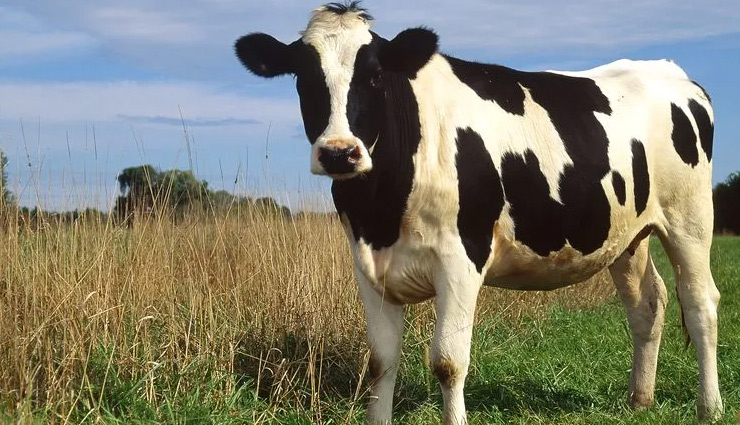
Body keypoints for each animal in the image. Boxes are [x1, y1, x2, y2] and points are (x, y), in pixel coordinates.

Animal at [234, 3, 722, 423]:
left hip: (690, 218)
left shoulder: (461, 257)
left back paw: (710, 406)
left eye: (374, 77)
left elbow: (448, 362)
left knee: (700, 302)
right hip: (627, 235)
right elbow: (380, 362)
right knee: (647, 304)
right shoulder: (368, 263)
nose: (339, 152)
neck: (383, 209)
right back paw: (640, 399)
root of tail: (671, 71)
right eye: (302, 78)